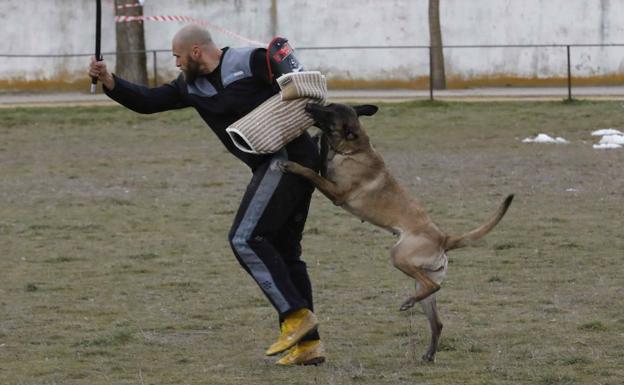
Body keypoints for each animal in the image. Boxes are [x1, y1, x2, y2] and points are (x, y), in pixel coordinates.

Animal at [278, 101, 512, 360]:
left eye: (329, 112)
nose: (309, 104)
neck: (354, 149)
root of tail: (444, 238)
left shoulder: (336, 193)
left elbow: (311, 172)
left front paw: (293, 165)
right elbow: (320, 159)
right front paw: (319, 140)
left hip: (399, 256)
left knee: (434, 287)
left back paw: (407, 304)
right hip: (422, 282)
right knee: (437, 320)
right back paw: (428, 354)